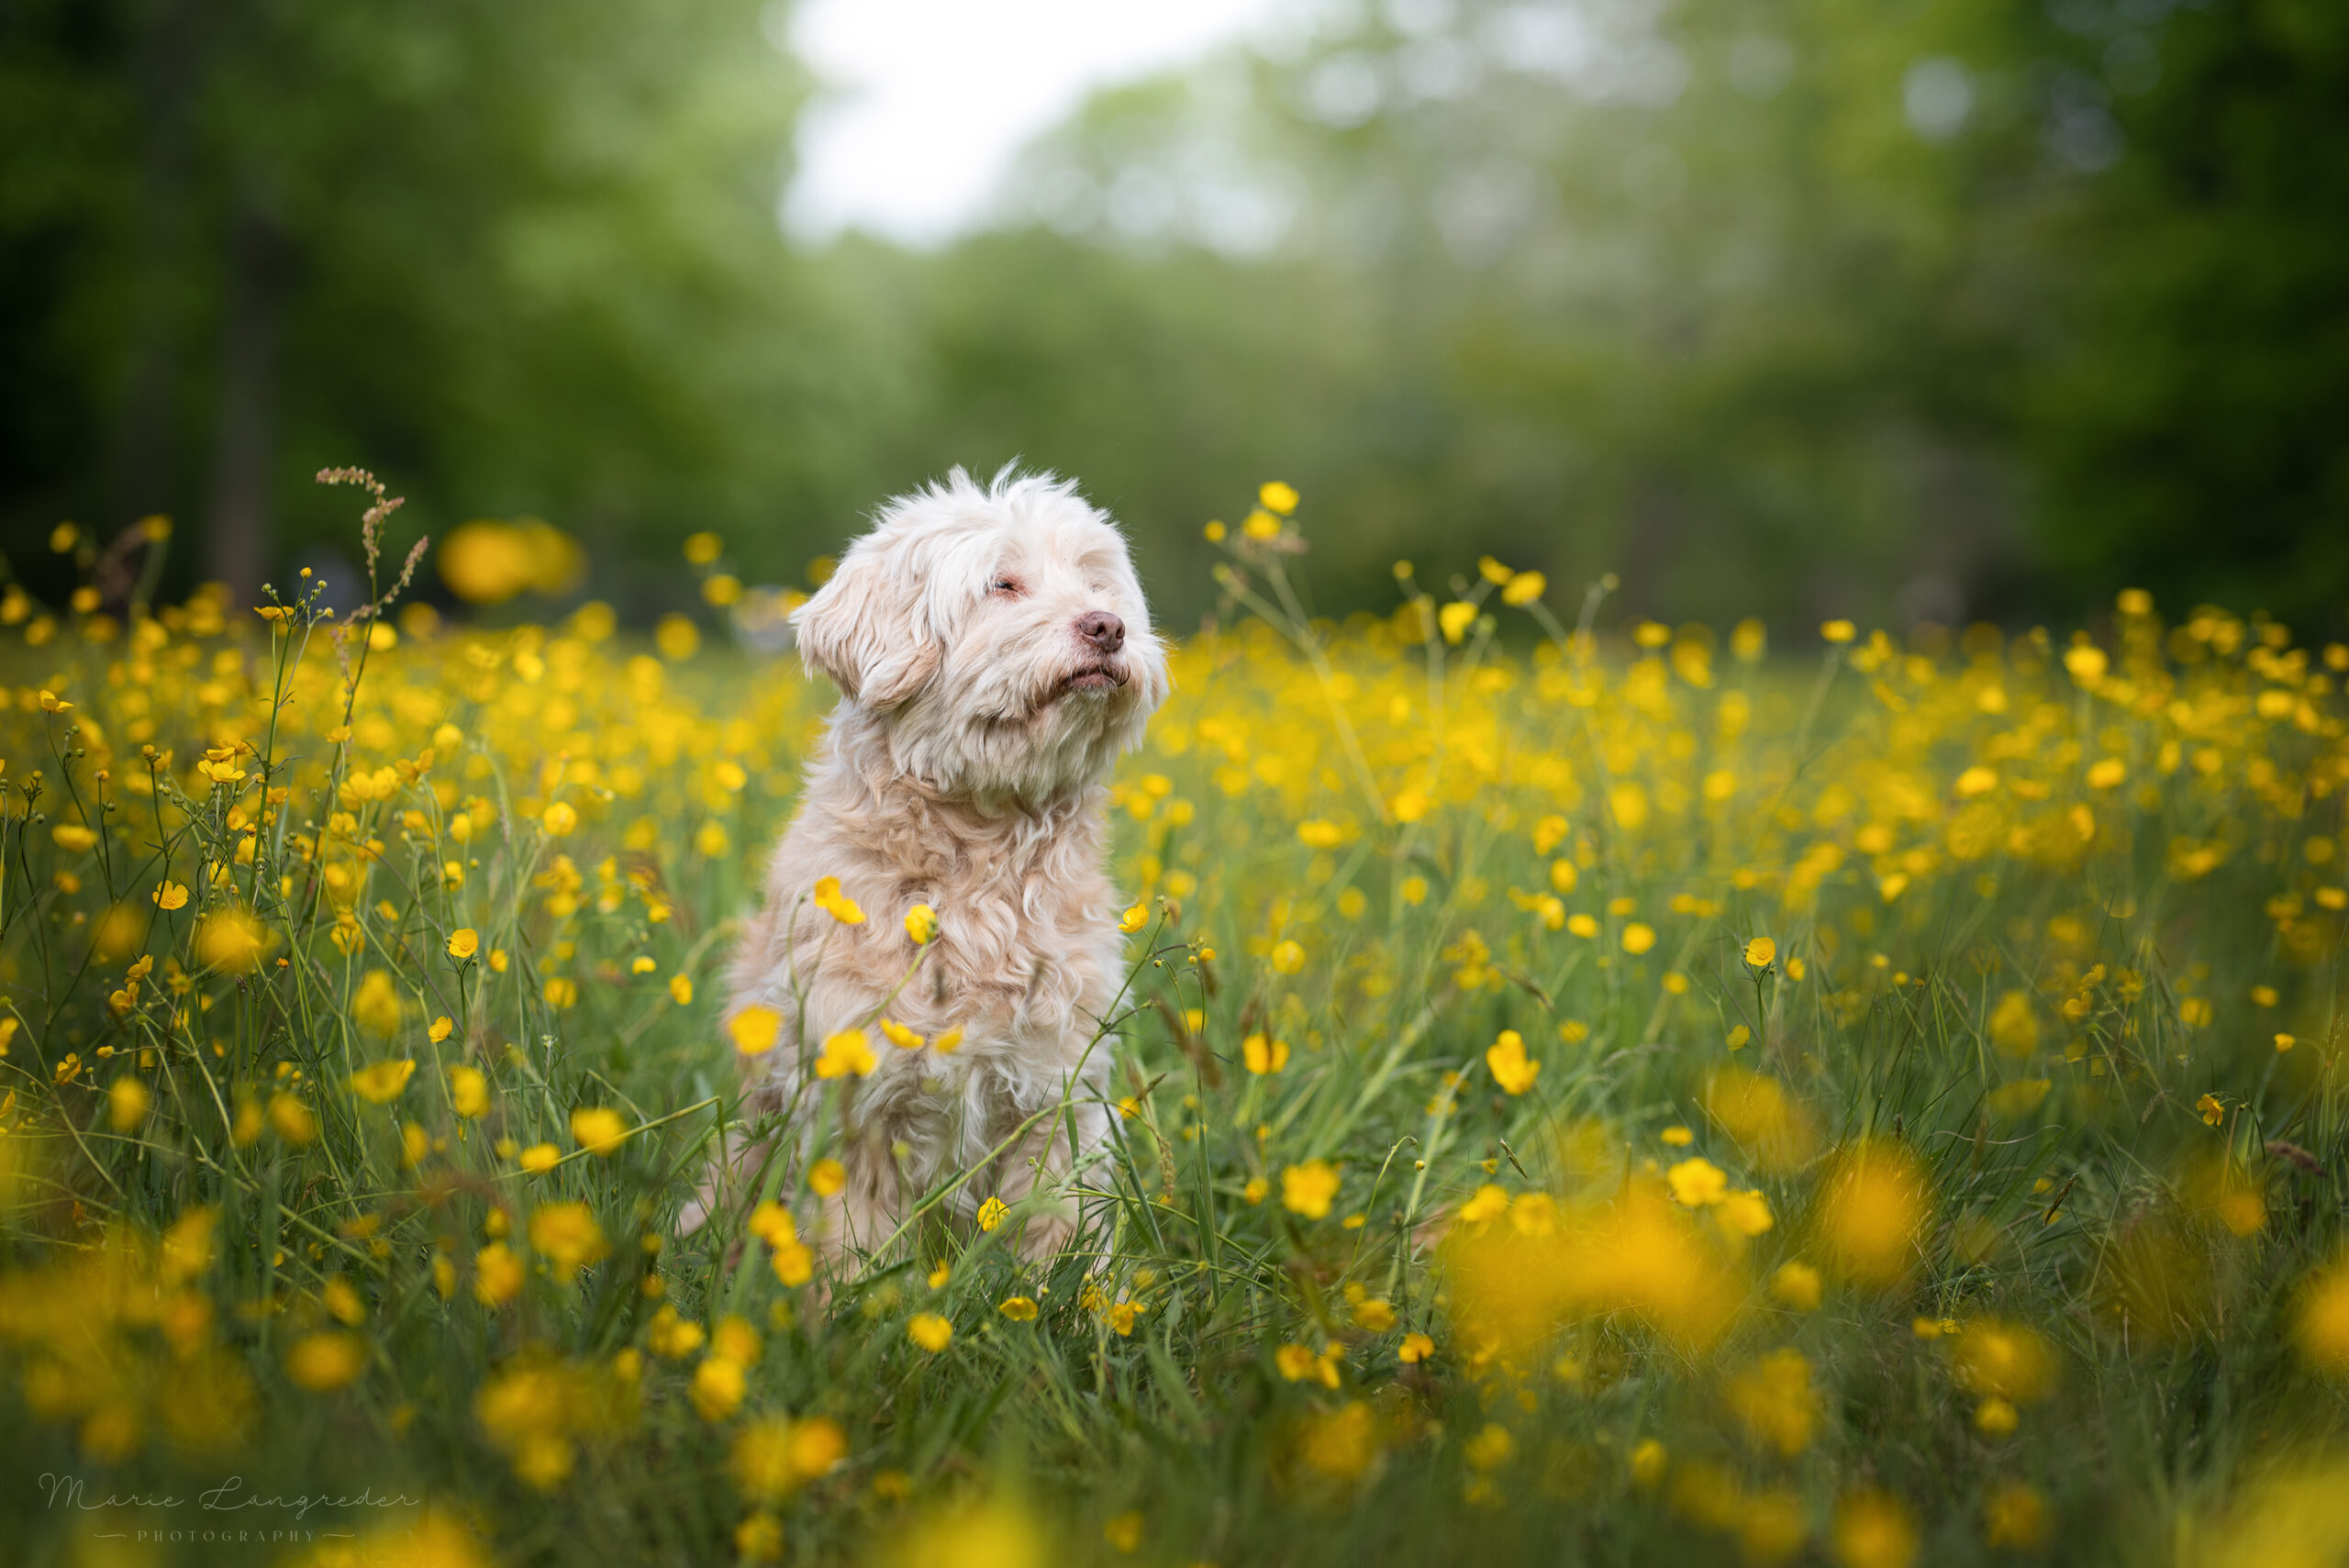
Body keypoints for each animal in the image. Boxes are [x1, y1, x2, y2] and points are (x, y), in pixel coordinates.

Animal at [685, 469, 1174, 1276]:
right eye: (1003, 583)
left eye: (1095, 580)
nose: (1107, 626)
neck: (978, 862)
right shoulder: (855, 1102)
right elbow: (852, 1240)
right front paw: (848, 1295)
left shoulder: (1055, 1088)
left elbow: (1058, 1228)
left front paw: (1081, 1296)